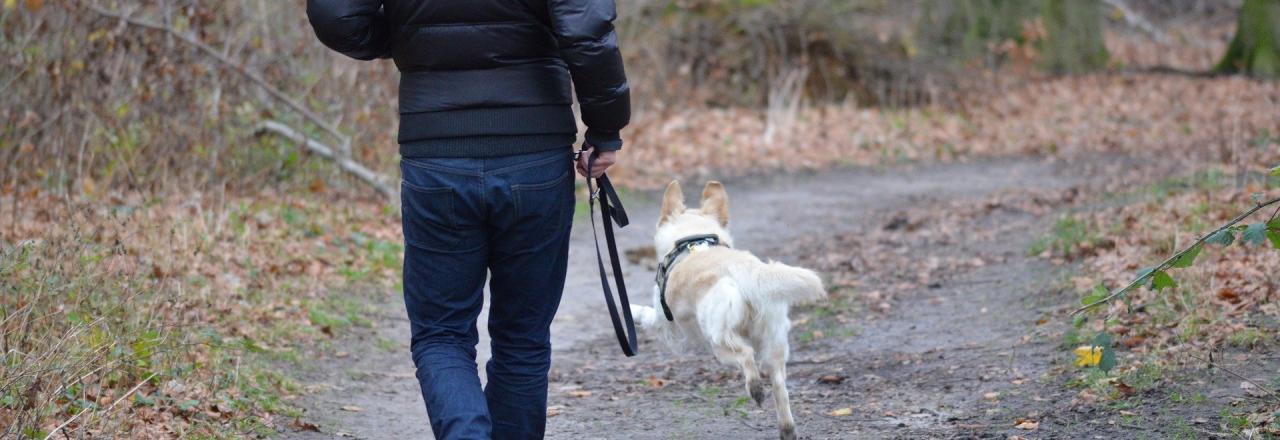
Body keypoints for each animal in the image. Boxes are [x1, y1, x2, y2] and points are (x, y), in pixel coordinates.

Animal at [632, 179, 829, 440]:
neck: (691, 240)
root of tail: (746, 272)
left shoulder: (667, 326)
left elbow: (646, 314)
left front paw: (630, 310)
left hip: (718, 341)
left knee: (746, 356)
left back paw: (755, 389)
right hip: (774, 342)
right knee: (779, 386)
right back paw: (787, 429)